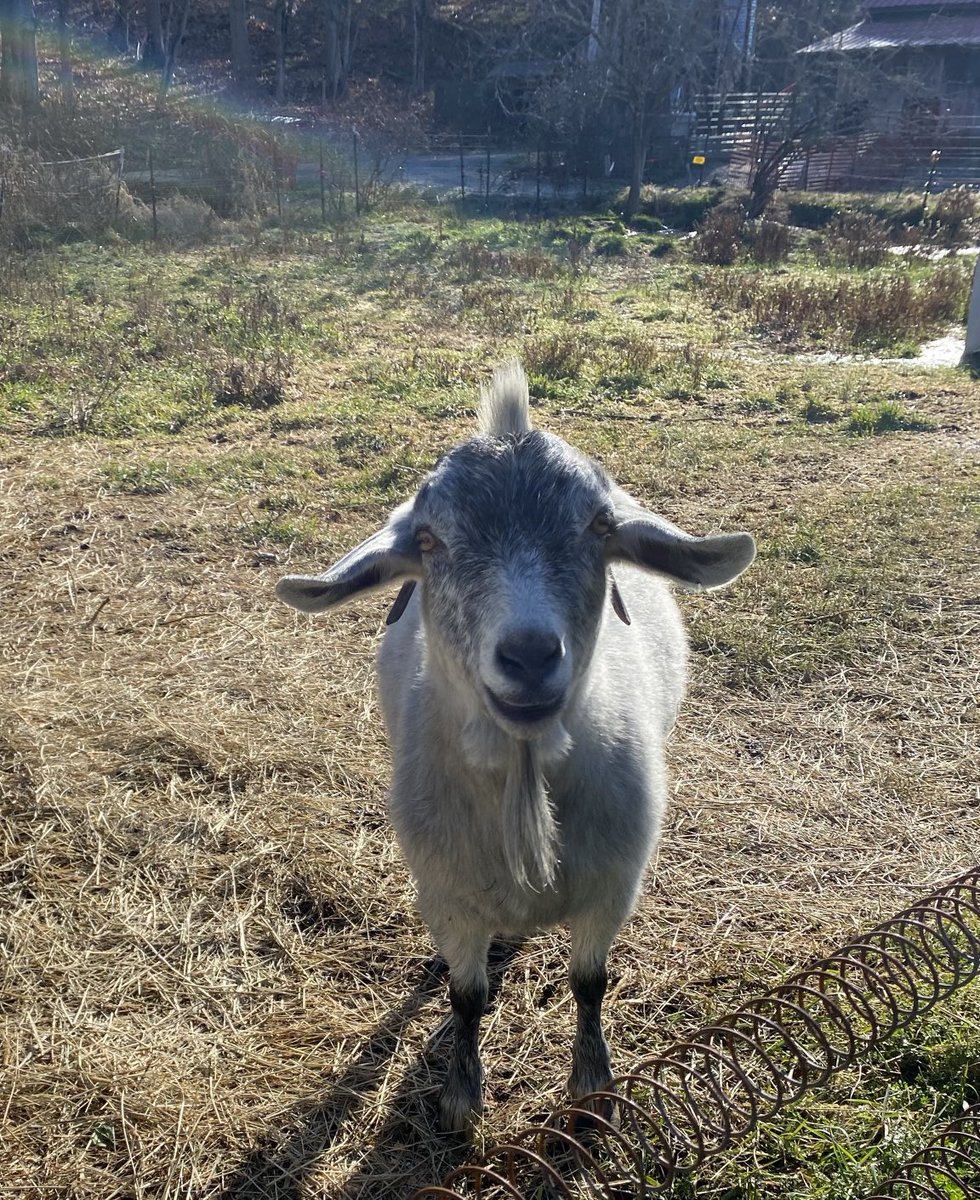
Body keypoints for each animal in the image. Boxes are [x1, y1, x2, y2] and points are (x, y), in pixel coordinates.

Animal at [276, 361, 755, 1132]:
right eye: (429, 541)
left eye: (598, 526)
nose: (529, 654)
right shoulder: (445, 894)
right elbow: (466, 997)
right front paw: (460, 1098)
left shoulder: (614, 885)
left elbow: (589, 981)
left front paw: (591, 1083)